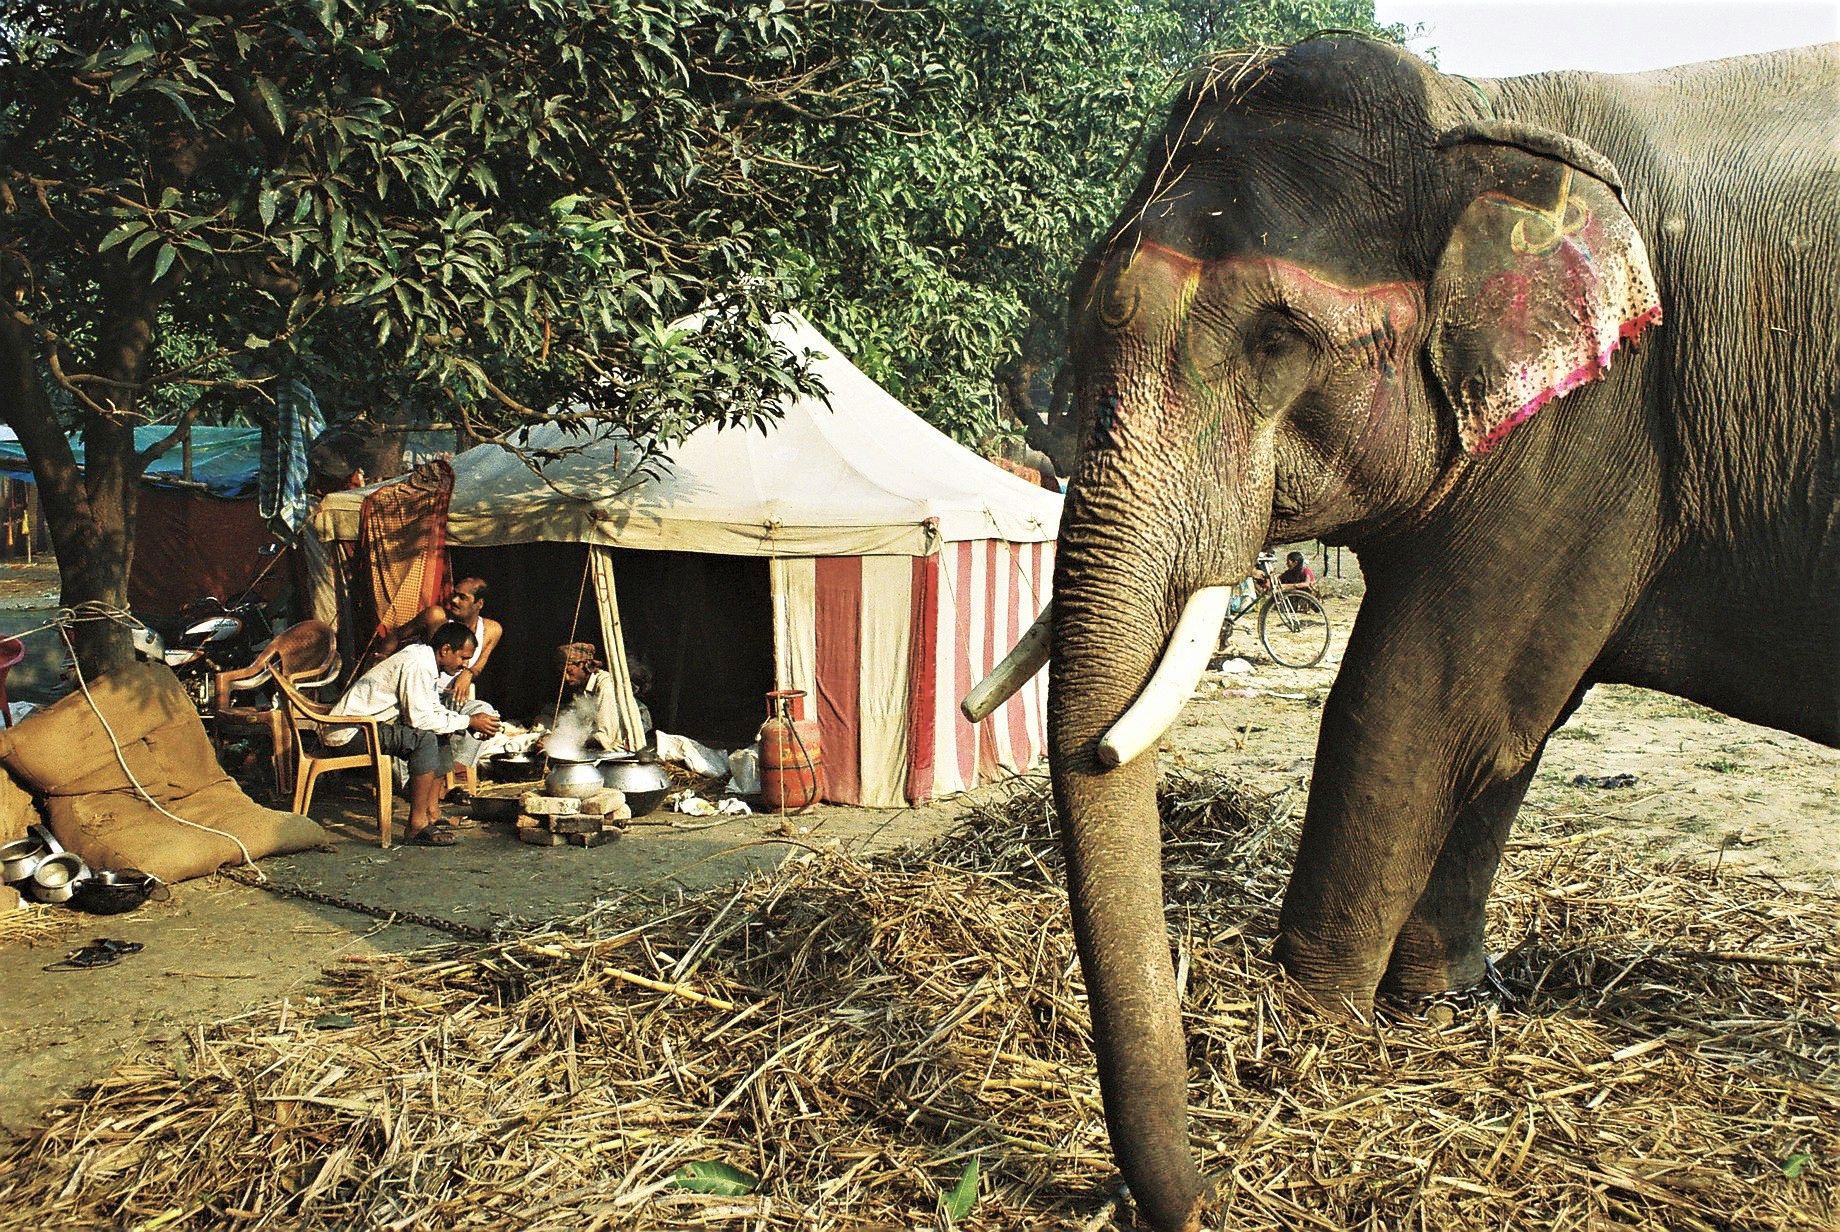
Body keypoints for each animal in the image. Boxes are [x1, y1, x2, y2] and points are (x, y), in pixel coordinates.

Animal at [961, 35, 1837, 1232]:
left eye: (1277, 338)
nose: (1202, 1199)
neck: (1478, 116)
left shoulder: (1597, 423)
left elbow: (1419, 703)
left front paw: (1309, 1023)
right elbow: (1509, 723)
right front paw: (1440, 1004)